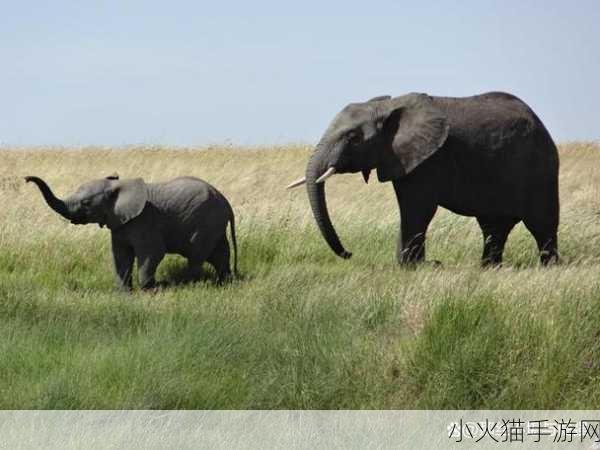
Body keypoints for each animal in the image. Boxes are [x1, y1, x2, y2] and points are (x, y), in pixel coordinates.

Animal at [26, 174, 237, 290]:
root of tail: (226, 202)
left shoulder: (145, 220)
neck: (116, 187)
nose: (27, 179)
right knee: (219, 254)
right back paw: (225, 283)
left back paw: (184, 285)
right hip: (214, 224)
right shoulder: (119, 223)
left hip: (207, 222)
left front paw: (148, 289)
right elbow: (120, 255)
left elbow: (152, 253)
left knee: (197, 255)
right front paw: (123, 292)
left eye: (85, 203)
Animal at [288, 92, 560, 266]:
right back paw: (489, 268)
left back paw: (550, 267)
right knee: (493, 227)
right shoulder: (402, 158)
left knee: (542, 224)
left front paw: (413, 266)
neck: (388, 107)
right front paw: (411, 265)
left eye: (353, 137)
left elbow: (417, 208)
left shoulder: (429, 160)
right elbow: (410, 209)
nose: (349, 254)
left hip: (540, 168)